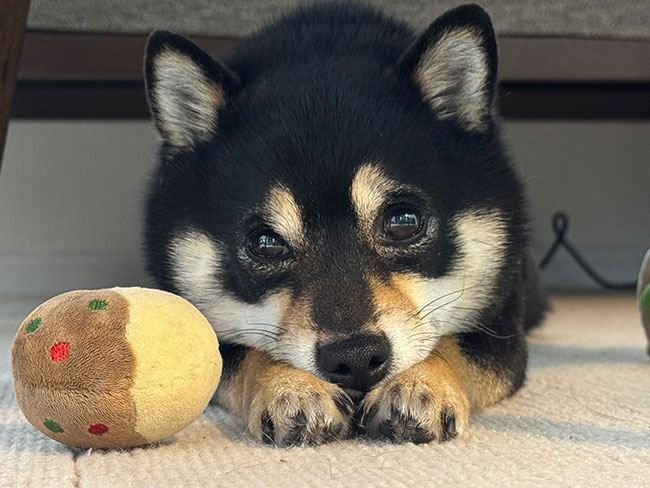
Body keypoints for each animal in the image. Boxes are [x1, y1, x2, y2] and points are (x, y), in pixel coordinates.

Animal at [143, 2, 548, 446]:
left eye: (403, 221)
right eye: (265, 243)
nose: (354, 358)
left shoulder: (500, 330)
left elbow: (453, 343)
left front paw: (422, 383)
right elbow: (247, 350)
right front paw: (292, 386)